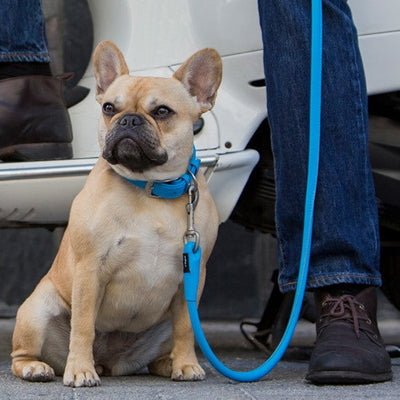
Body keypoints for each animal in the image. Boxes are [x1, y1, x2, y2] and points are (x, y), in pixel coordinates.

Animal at [10, 41, 222, 388]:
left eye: (162, 112)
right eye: (109, 108)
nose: (129, 120)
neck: (151, 189)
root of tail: (108, 362)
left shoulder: (194, 274)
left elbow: (187, 328)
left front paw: (187, 364)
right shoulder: (89, 269)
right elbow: (83, 325)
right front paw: (80, 370)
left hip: (160, 325)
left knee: (162, 349)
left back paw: (170, 363)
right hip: (37, 310)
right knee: (24, 353)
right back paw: (38, 367)